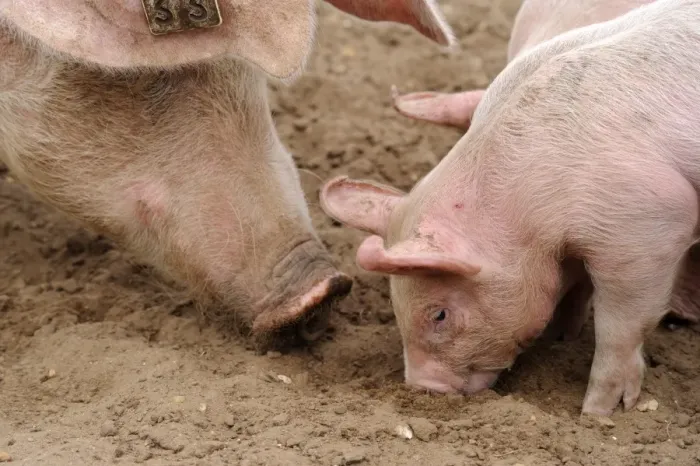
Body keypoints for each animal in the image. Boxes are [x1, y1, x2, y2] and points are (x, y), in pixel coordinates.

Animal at [320, 0, 700, 415]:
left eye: (439, 314)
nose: (423, 389)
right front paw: (564, 337)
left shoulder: (646, 226)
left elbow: (621, 327)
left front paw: (597, 413)